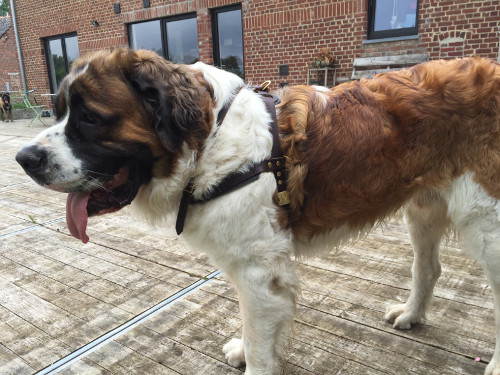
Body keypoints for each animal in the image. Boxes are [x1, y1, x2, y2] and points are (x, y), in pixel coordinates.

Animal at [13, 48, 500, 374]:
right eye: (59, 112)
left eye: (91, 119)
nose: (23, 158)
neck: (209, 142)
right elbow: (256, 328)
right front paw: (245, 349)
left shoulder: (259, 272)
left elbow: (262, 342)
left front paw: (254, 358)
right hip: (425, 207)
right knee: (428, 268)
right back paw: (412, 315)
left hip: (486, 222)